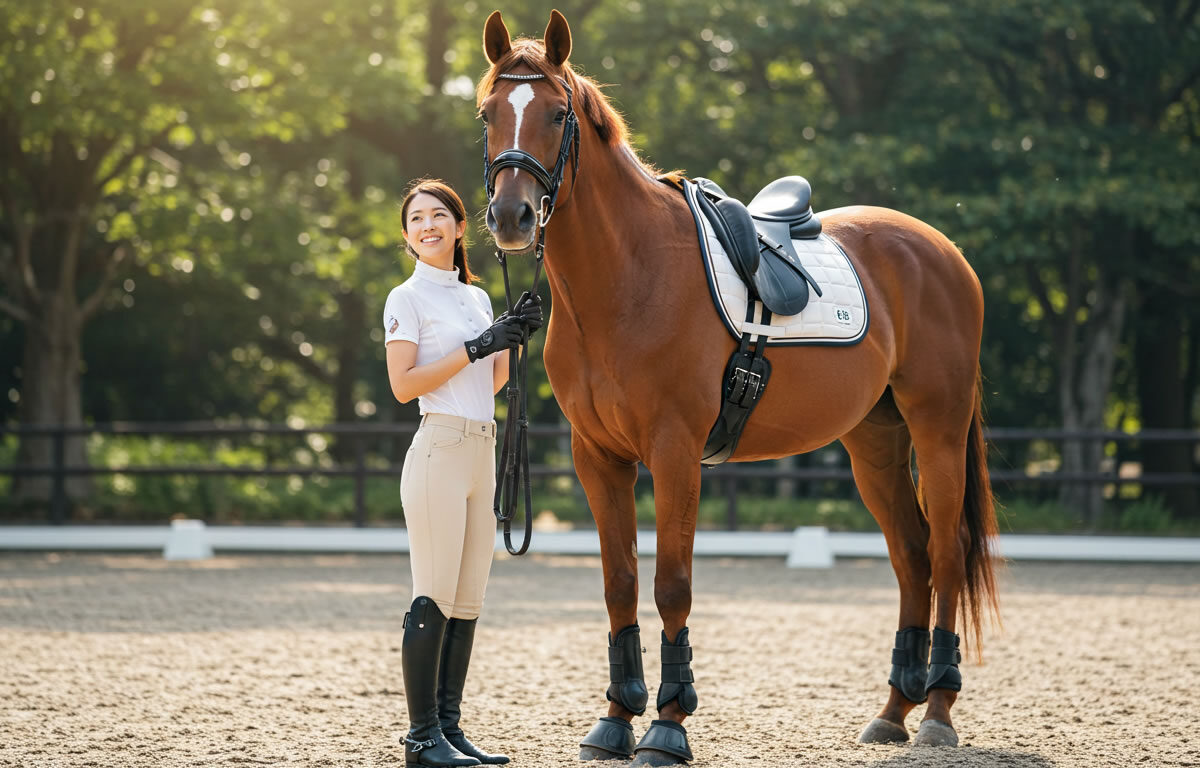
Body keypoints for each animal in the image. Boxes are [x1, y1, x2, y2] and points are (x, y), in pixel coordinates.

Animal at [476, 10, 999, 764]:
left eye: (555, 113)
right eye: (488, 114)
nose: (511, 217)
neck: (629, 276)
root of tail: (942, 251)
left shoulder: (675, 452)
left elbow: (671, 585)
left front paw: (668, 724)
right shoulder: (597, 457)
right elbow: (619, 583)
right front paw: (615, 718)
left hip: (938, 427)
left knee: (947, 553)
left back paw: (936, 711)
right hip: (874, 441)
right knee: (912, 555)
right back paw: (892, 711)